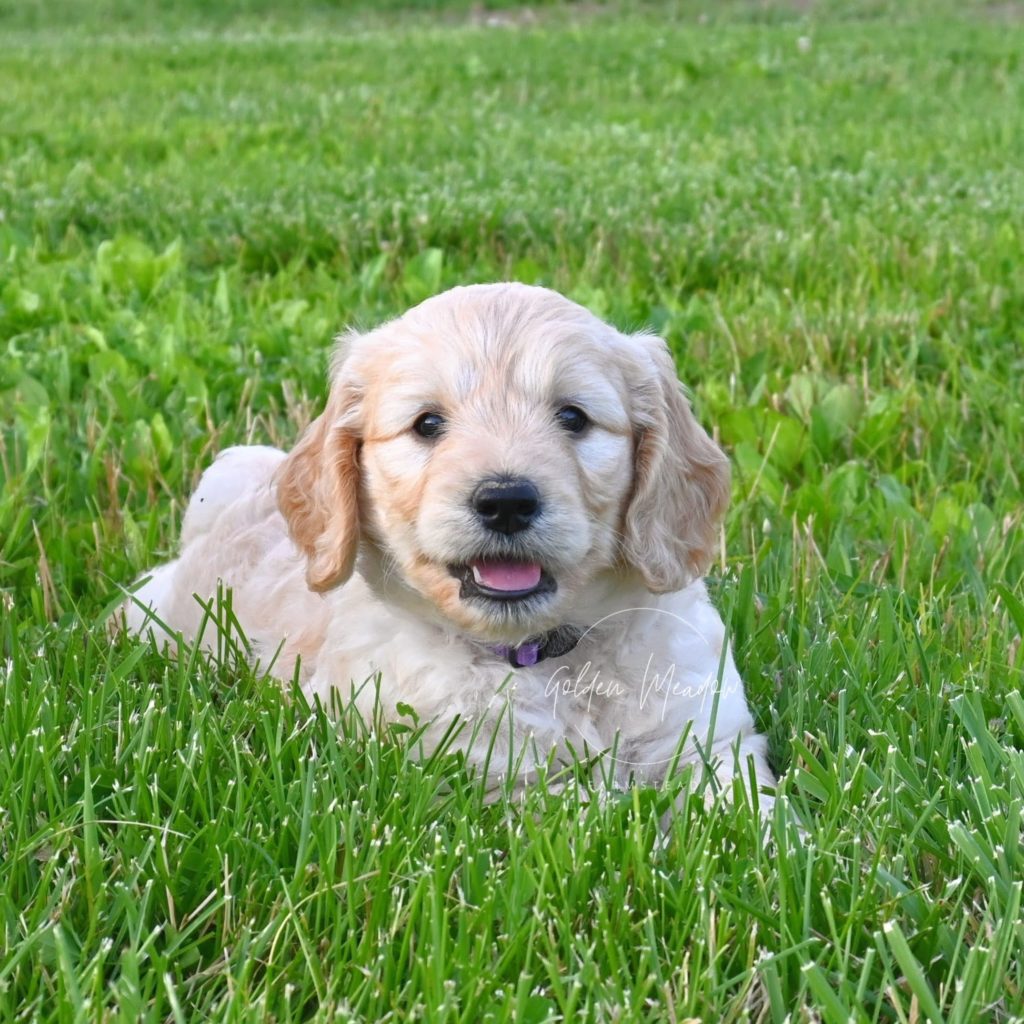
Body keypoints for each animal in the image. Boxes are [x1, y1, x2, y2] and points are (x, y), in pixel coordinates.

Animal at [119, 284, 770, 802]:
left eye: (573, 418)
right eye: (428, 424)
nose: (506, 501)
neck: (544, 656)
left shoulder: (712, 736)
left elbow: (747, 818)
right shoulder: (490, 773)